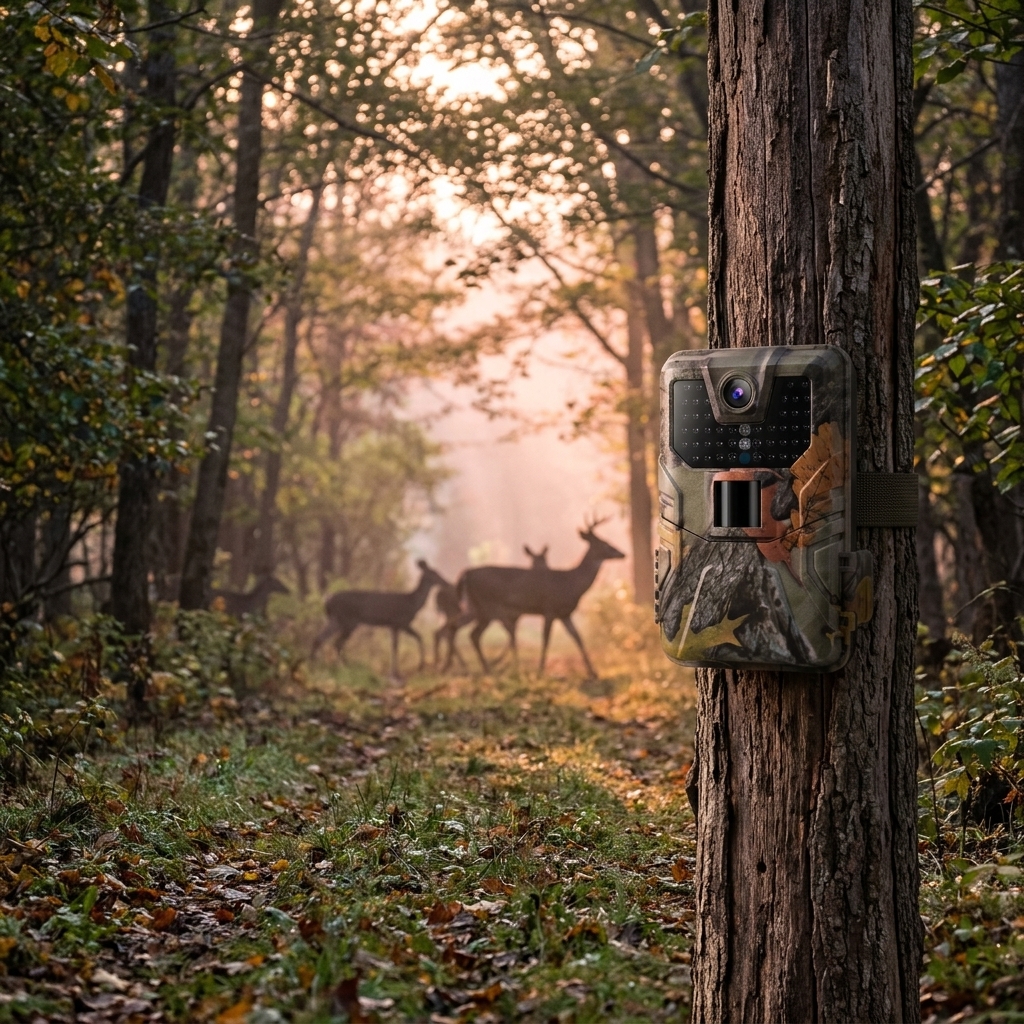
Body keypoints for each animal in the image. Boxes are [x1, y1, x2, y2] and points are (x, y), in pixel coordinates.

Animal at [312, 559, 446, 678]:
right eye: (434, 573)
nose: (445, 582)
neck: (413, 603)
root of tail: (327, 601)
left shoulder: (394, 625)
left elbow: (398, 645)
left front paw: (398, 672)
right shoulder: (400, 622)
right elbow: (410, 641)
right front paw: (412, 669)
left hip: (337, 620)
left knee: (320, 639)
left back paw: (317, 664)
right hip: (348, 620)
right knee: (336, 642)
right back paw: (343, 666)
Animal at [457, 520, 625, 678]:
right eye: (604, 543)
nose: (622, 553)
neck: (572, 583)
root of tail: (467, 573)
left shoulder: (564, 613)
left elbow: (578, 637)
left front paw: (593, 672)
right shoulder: (549, 608)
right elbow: (545, 639)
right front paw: (540, 671)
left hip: (481, 609)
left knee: (473, 634)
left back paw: (487, 669)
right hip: (487, 607)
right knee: (473, 634)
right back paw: (488, 669)